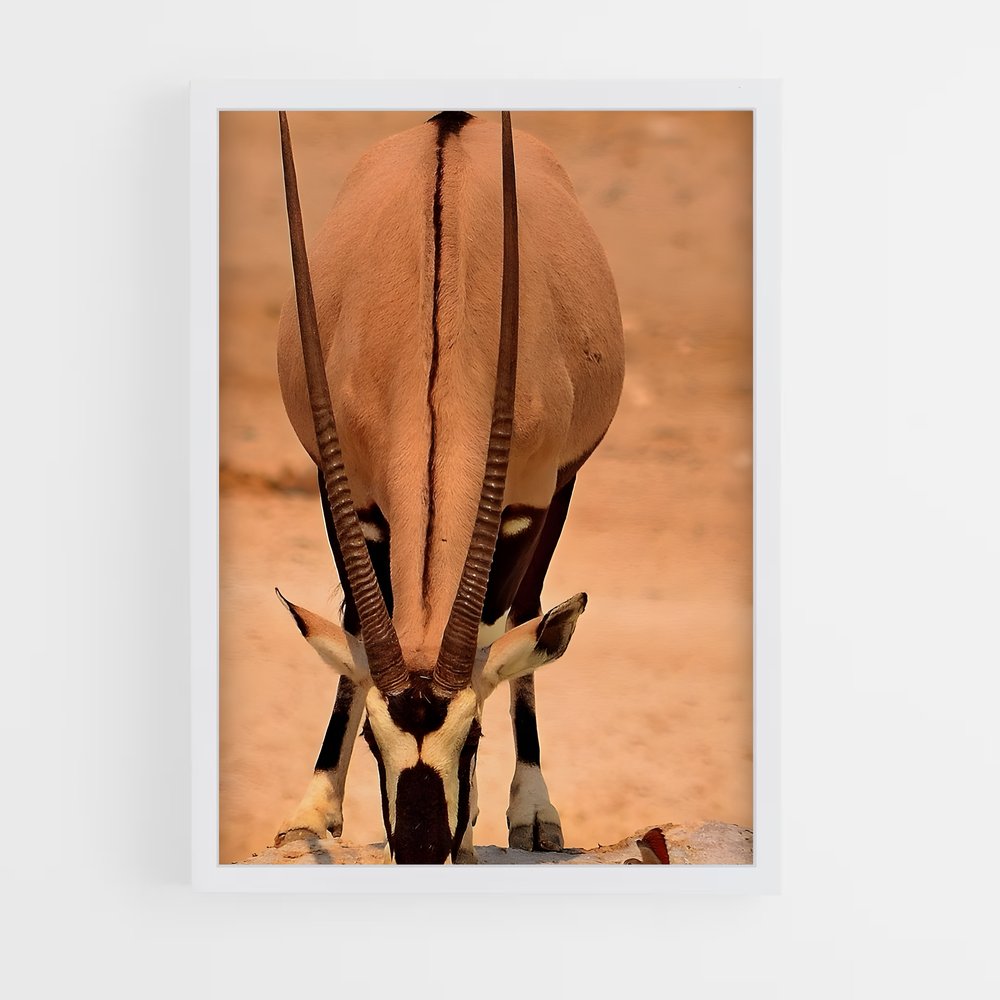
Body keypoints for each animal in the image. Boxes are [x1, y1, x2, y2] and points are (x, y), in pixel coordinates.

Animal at [272, 110, 624, 864]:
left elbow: (504, 631)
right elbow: (353, 625)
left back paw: (533, 811)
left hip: (562, 487)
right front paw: (313, 811)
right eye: (374, 738)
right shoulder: (349, 494)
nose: (422, 846)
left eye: (474, 735)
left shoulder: (530, 501)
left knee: (531, 609)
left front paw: (500, 819)